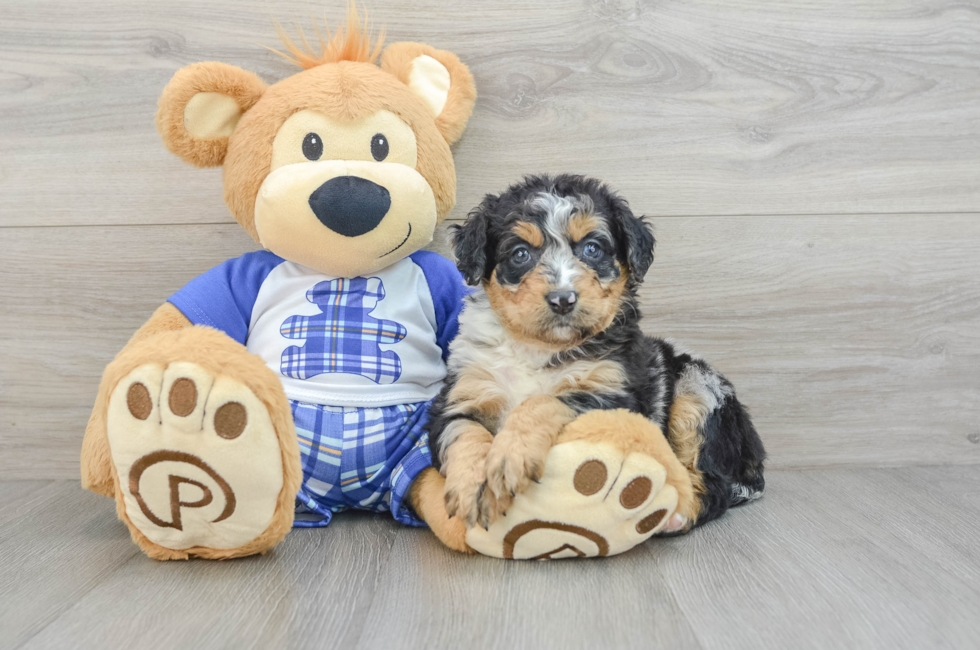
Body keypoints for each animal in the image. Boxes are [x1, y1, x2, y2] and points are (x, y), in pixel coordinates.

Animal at [428, 172, 764, 532]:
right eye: (520, 254)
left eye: (592, 248)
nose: (563, 300)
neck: (539, 348)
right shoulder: (461, 394)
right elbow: (464, 434)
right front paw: (471, 488)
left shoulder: (613, 394)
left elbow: (542, 401)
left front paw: (509, 458)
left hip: (698, 390)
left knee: (716, 486)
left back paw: (674, 516)